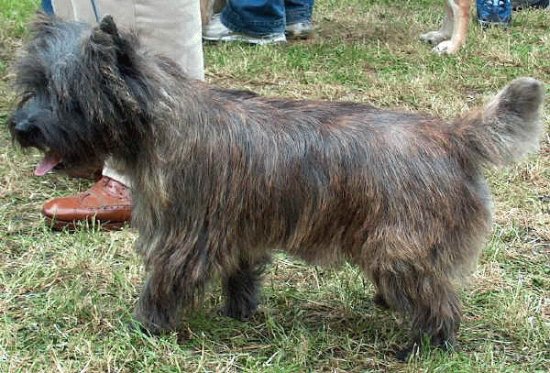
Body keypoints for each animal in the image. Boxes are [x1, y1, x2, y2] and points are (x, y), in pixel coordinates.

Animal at [10, 13, 544, 358]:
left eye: (66, 97)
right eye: (32, 87)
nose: (19, 127)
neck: (162, 118)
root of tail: (454, 135)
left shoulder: (182, 238)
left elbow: (162, 283)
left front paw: (144, 328)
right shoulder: (239, 231)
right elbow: (241, 274)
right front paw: (239, 312)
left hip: (399, 247)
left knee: (440, 303)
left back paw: (422, 347)